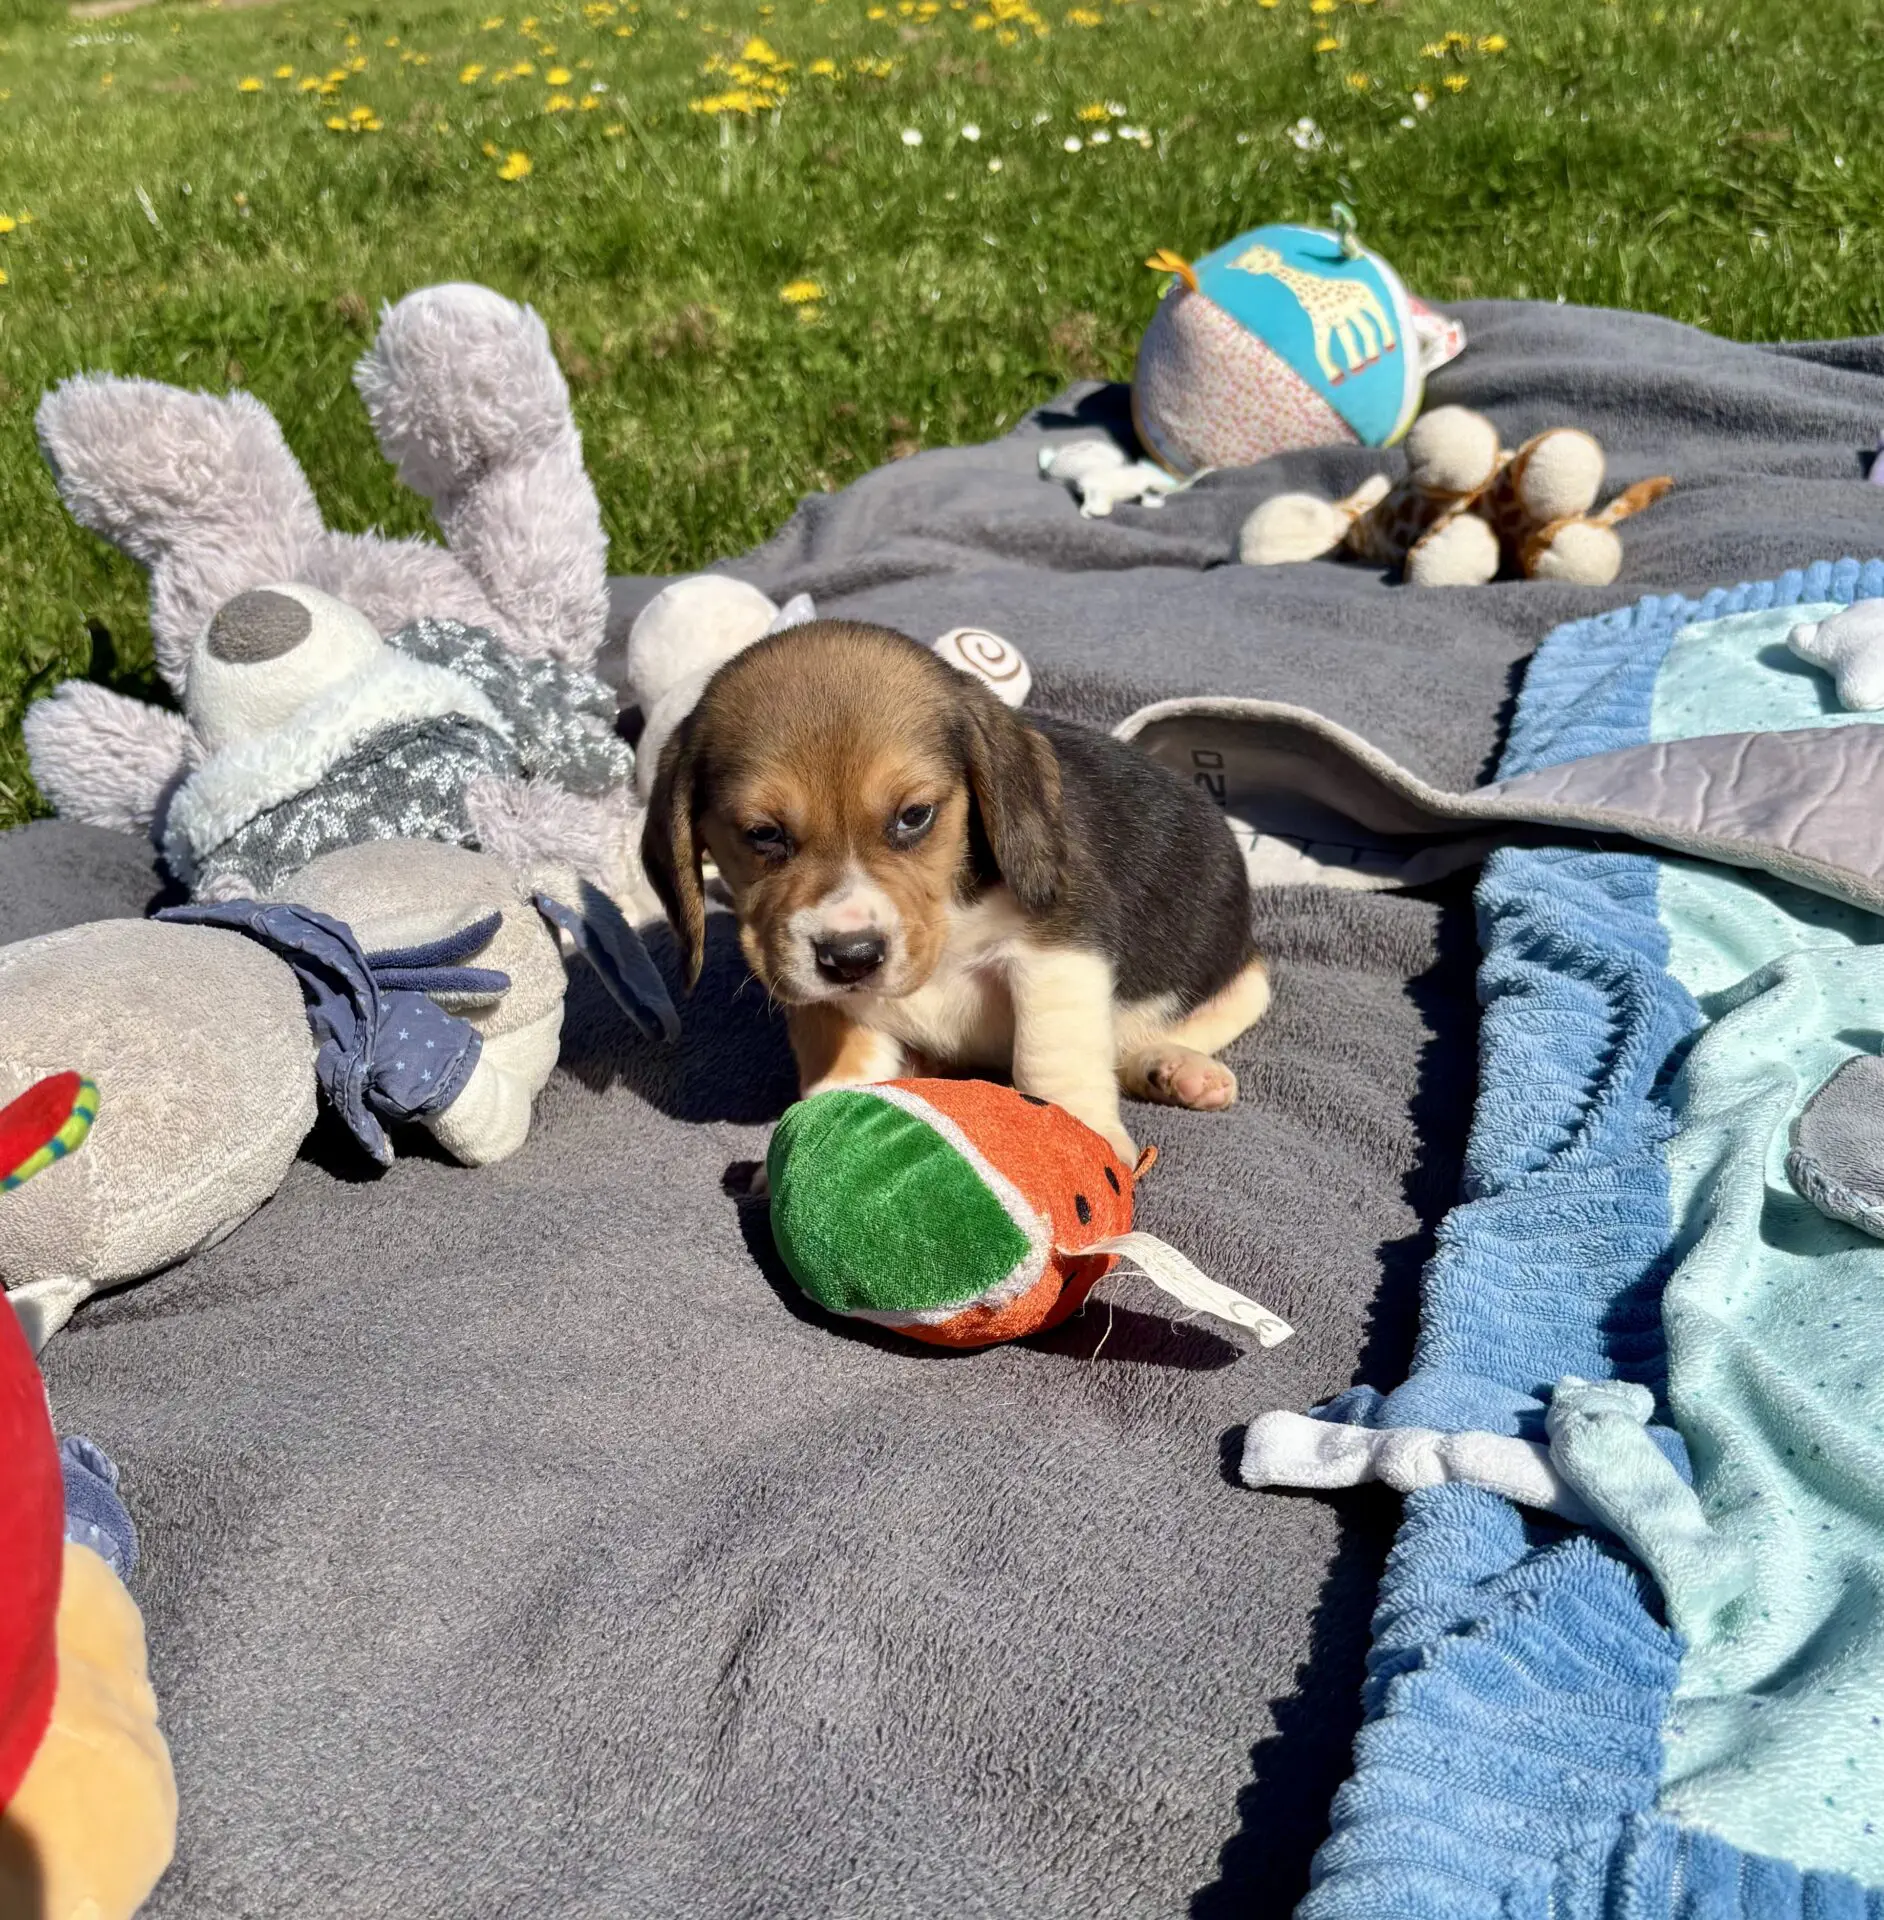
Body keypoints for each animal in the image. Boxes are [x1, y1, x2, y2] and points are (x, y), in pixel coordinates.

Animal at [641, 620, 1269, 1160]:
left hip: (1241, 976)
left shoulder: (1059, 949)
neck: (945, 920)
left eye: (914, 816)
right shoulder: (819, 991)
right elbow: (844, 1065)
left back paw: (1176, 1067)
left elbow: (1049, 1057)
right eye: (763, 834)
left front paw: (1079, 1135)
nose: (851, 958)